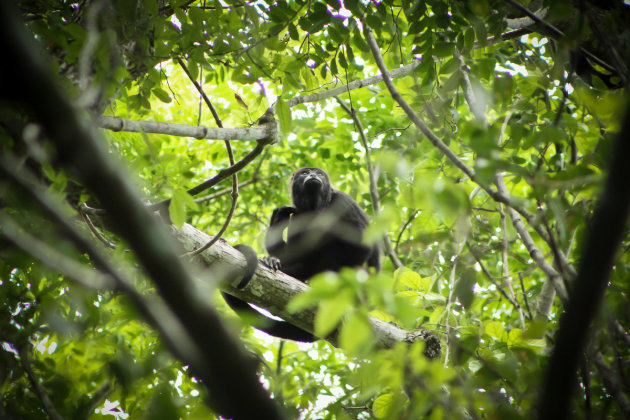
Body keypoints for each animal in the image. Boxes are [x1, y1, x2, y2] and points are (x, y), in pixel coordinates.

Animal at [223, 167, 380, 342]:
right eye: (305, 173)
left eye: (319, 174)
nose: (312, 175)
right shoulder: (298, 215)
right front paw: (278, 219)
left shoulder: (343, 201)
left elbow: (361, 242)